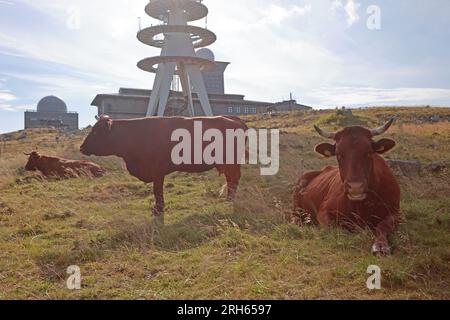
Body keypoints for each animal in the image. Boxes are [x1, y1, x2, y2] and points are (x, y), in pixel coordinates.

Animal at [81, 115, 250, 218]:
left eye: (95, 132)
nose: (82, 147)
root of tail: (235, 119)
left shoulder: (157, 171)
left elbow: (157, 191)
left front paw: (158, 209)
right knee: (231, 179)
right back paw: (228, 198)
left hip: (232, 162)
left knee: (234, 179)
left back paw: (230, 199)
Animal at [296, 119, 400, 256]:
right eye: (338, 154)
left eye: (369, 152)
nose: (355, 187)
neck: (362, 206)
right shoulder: (324, 211)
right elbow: (334, 228)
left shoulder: (396, 213)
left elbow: (382, 226)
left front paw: (381, 245)